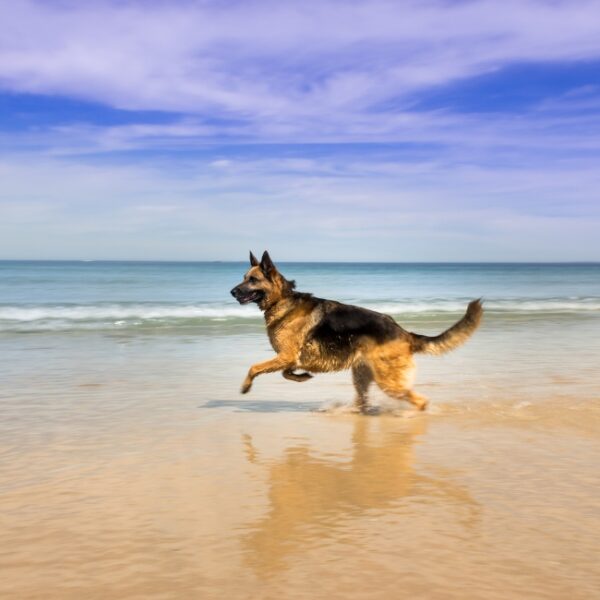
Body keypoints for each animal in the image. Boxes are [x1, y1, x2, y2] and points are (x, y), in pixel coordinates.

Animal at [230, 250, 482, 412]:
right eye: (244, 278)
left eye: (252, 280)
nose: (232, 292)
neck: (282, 301)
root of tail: (404, 333)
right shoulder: (289, 358)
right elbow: (286, 372)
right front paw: (302, 377)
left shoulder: (286, 356)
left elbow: (254, 367)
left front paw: (245, 386)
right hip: (362, 377)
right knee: (364, 401)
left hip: (388, 381)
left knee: (419, 401)